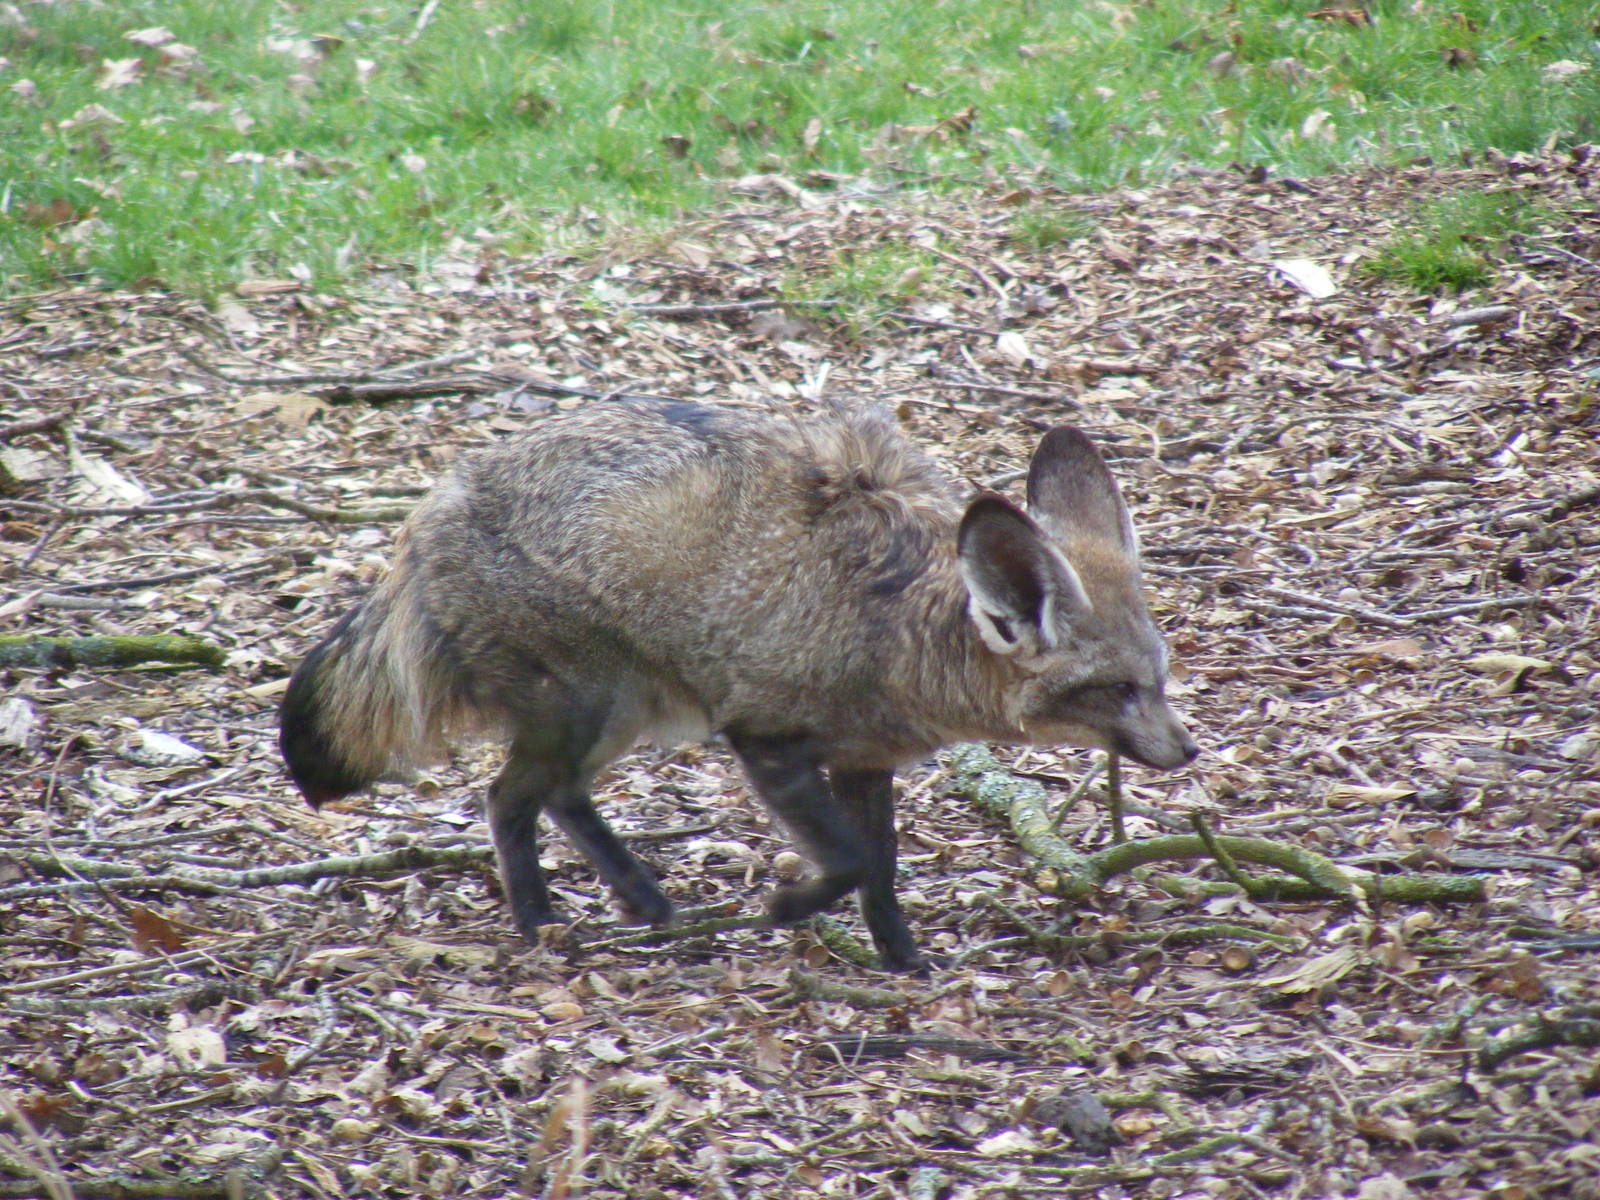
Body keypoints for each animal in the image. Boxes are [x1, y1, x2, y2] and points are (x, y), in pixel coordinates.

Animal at [279, 399, 1196, 972]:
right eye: (1118, 690)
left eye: (1158, 679)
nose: (1187, 752)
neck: (894, 631)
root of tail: (428, 508)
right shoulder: (765, 740)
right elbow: (850, 860)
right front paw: (792, 907)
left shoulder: (865, 763)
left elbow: (882, 870)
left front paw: (902, 959)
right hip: (589, 709)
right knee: (508, 798)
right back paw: (541, 918)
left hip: (618, 717)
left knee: (556, 797)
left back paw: (640, 899)